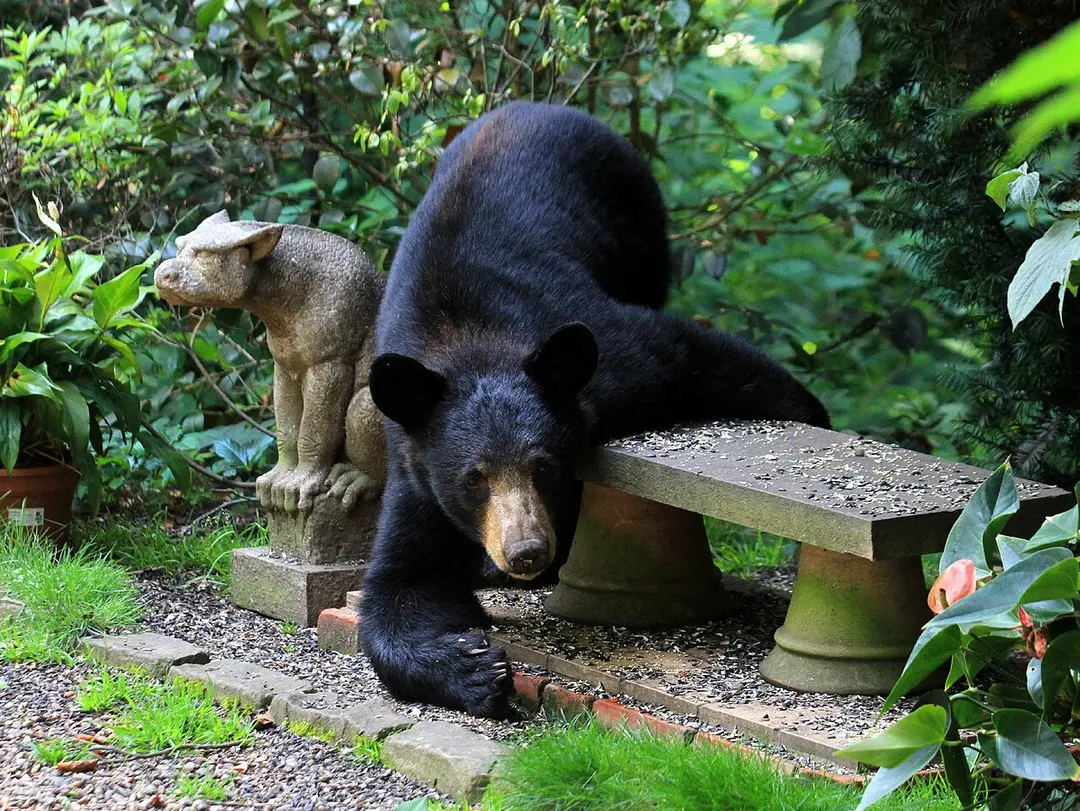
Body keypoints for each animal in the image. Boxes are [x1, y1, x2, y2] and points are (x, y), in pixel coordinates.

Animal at [361, 101, 829, 718]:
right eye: (474, 478)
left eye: (545, 467)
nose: (526, 552)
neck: (468, 341)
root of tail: (542, 106)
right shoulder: (417, 470)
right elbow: (400, 583)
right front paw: (475, 668)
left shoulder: (609, 359)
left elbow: (696, 358)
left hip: (637, 221)